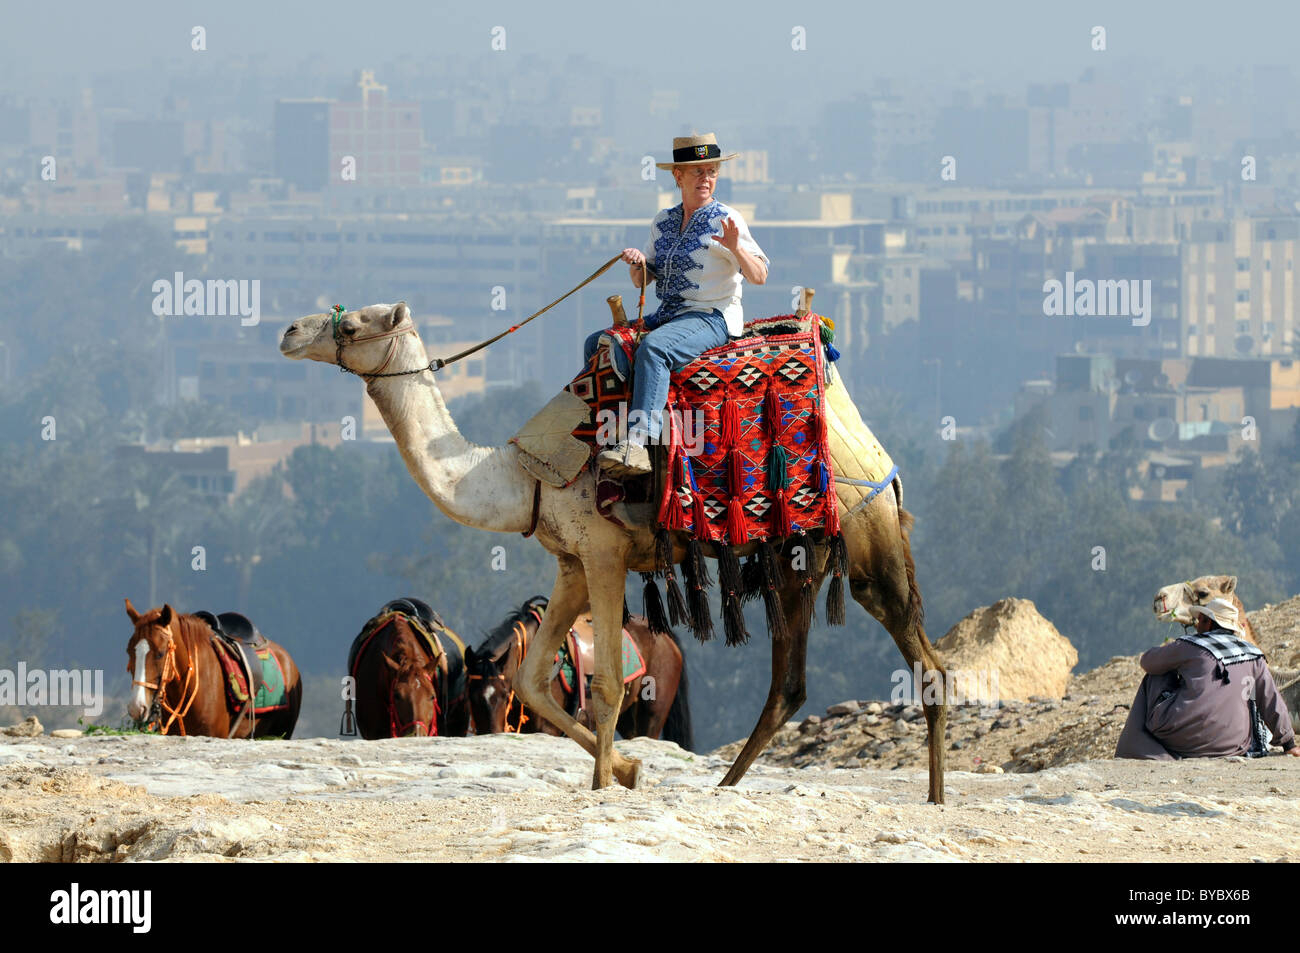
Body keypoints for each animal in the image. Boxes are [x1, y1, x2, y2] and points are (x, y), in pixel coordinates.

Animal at [465, 598, 691, 748]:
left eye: (504, 694)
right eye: (471, 697)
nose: (488, 734)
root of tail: (664, 635)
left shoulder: (548, 729)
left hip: (652, 715)